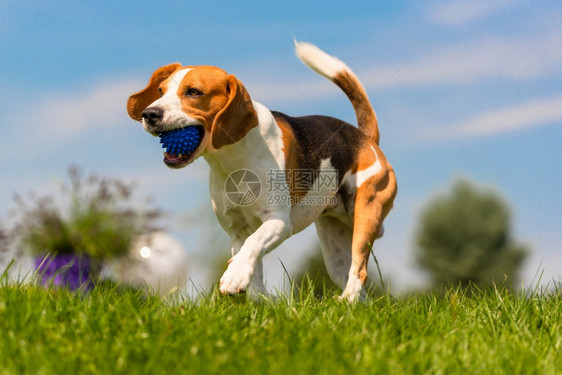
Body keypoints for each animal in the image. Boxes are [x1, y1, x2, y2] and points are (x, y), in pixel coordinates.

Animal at [129, 41, 396, 302]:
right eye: (160, 91)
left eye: (193, 92)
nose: (149, 114)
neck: (233, 161)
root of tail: (366, 139)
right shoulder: (236, 230)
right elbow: (252, 265)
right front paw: (257, 297)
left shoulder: (278, 221)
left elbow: (253, 243)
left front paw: (235, 275)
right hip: (334, 246)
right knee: (353, 280)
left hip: (366, 215)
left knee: (360, 270)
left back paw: (346, 298)